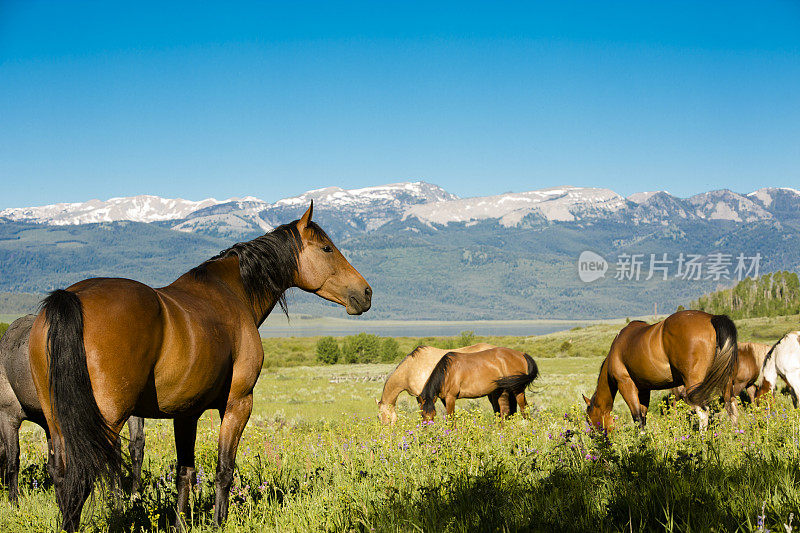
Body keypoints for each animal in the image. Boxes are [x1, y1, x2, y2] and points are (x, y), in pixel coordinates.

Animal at [0, 314, 145, 504]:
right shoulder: (50, 424)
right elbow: (53, 463)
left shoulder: (8, 416)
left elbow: (13, 460)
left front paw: (13, 500)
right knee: (136, 445)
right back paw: (135, 495)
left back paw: (116, 497)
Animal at [27, 202, 372, 528]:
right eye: (327, 248)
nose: (366, 292)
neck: (233, 292)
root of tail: (71, 297)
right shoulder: (237, 403)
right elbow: (224, 470)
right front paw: (219, 522)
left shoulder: (186, 413)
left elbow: (185, 473)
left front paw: (180, 523)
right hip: (107, 421)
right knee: (80, 479)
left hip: (59, 423)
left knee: (62, 477)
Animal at [580, 310, 736, 430]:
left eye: (589, 420)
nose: (595, 438)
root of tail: (712, 318)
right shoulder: (644, 390)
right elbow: (643, 418)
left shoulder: (626, 384)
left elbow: (637, 419)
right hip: (726, 383)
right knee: (732, 408)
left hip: (694, 384)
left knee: (703, 411)